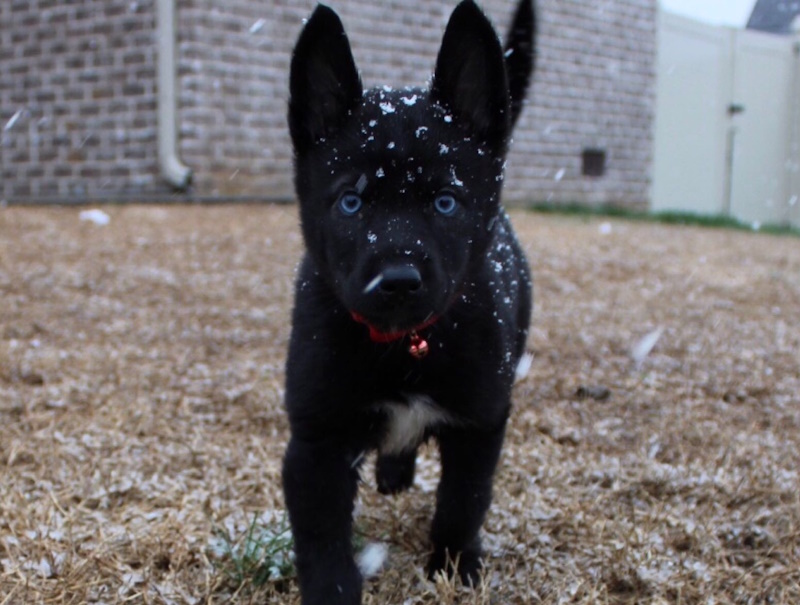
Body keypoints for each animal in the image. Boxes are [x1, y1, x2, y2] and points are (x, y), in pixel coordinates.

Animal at [284, 2, 536, 600]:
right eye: (351, 202)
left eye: (445, 201)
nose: (398, 280)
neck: (404, 345)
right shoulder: (315, 437)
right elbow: (322, 532)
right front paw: (332, 591)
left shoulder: (480, 424)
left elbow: (463, 503)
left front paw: (455, 566)